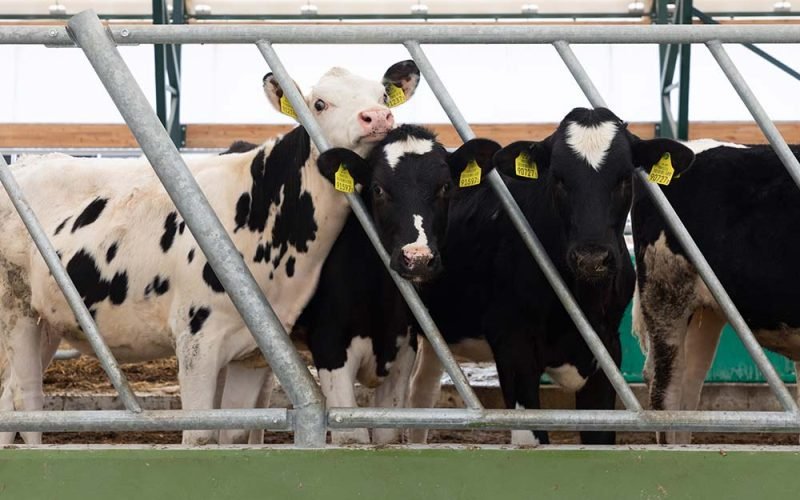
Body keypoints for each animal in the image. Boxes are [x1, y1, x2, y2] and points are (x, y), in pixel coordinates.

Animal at [296, 124, 500, 442]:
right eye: (378, 189)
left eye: (446, 187)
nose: (417, 258)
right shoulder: (330, 347)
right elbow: (352, 439)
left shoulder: (403, 349)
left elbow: (388, 437)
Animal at [412, 107, 692, 444]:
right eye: (558, 178)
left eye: (625, 177)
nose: (591, 258)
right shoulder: (513, 343)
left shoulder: (608, 349)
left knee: (421, 390)